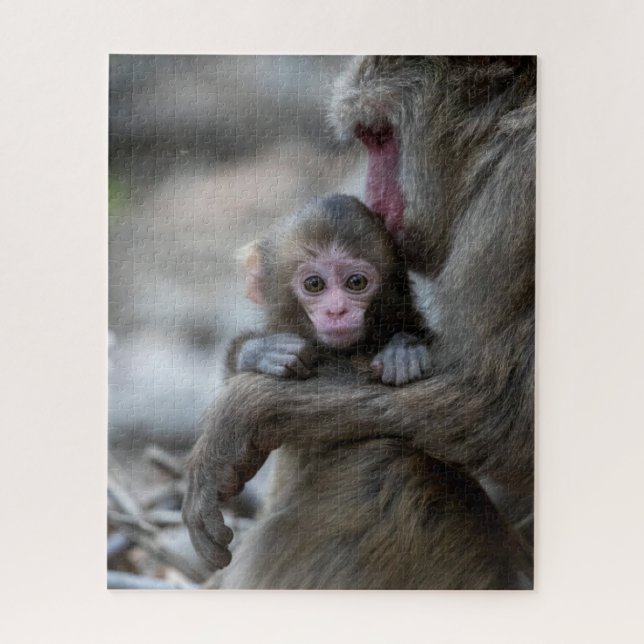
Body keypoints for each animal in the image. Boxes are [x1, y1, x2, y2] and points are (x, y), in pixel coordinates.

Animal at [182, 56, 536, 589]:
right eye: (313, 285)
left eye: (378, 135)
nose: (371, 193)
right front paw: (261, 354)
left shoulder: (520, 191)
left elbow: (499, 416)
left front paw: (243, 411)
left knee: (384, 464)